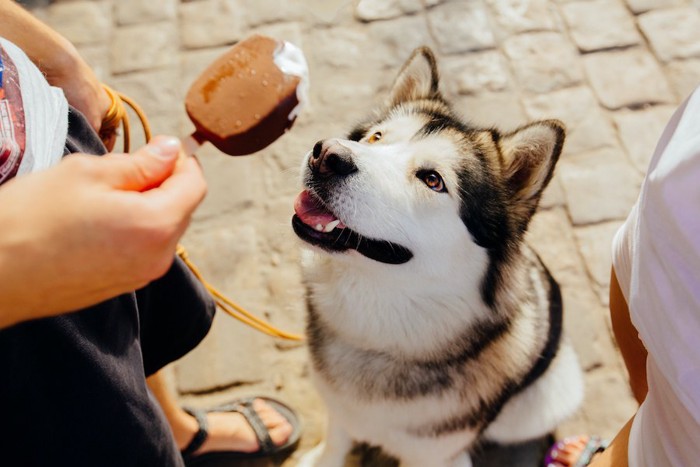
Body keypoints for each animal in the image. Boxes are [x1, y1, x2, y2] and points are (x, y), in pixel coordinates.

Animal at [292, 44, 584, 467]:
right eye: (375, 137)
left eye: (433, 180)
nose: (326, 154)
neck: (378, 338)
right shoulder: (339, 411)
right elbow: (336, 442)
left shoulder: (434, 454)